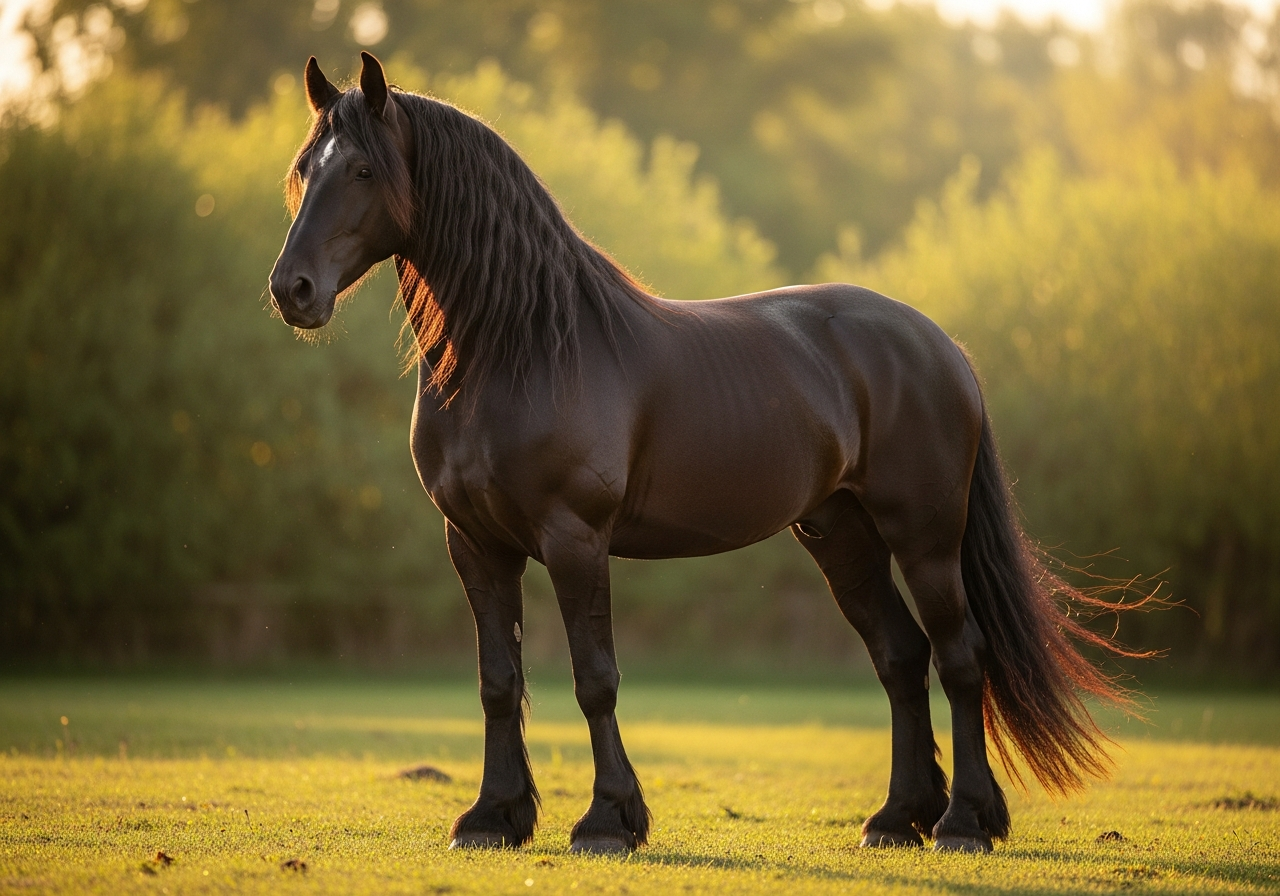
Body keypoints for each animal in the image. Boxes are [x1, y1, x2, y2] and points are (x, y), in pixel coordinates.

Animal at [269, 52, 1144, 855]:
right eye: (302, 170)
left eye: (362, 169)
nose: (292, 290)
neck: (523, 349)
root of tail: (941, 347)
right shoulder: (476, 544)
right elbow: (497, 682)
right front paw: (494, 818)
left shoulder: (574, 538)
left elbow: (595, 679)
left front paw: (608, 822)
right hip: (842, 534)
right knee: (901, 657)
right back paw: (900, 819)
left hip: (925, 538)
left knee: (962, 659)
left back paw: (964, 823)